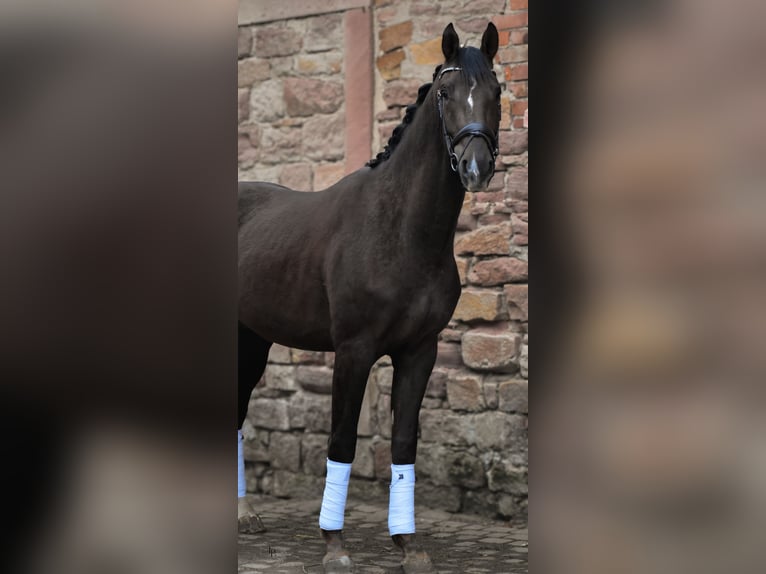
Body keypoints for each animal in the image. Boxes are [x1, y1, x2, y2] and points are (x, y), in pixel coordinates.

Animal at [237, 22, 501, 573]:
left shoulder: (419, 352)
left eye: (497, 91)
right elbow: (341, 439)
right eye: (445, 93)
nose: (475, 166)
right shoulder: (354, 351)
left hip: (252, 339)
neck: (399, 231)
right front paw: (334, 544)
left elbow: (404, 443)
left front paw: (409, 544)